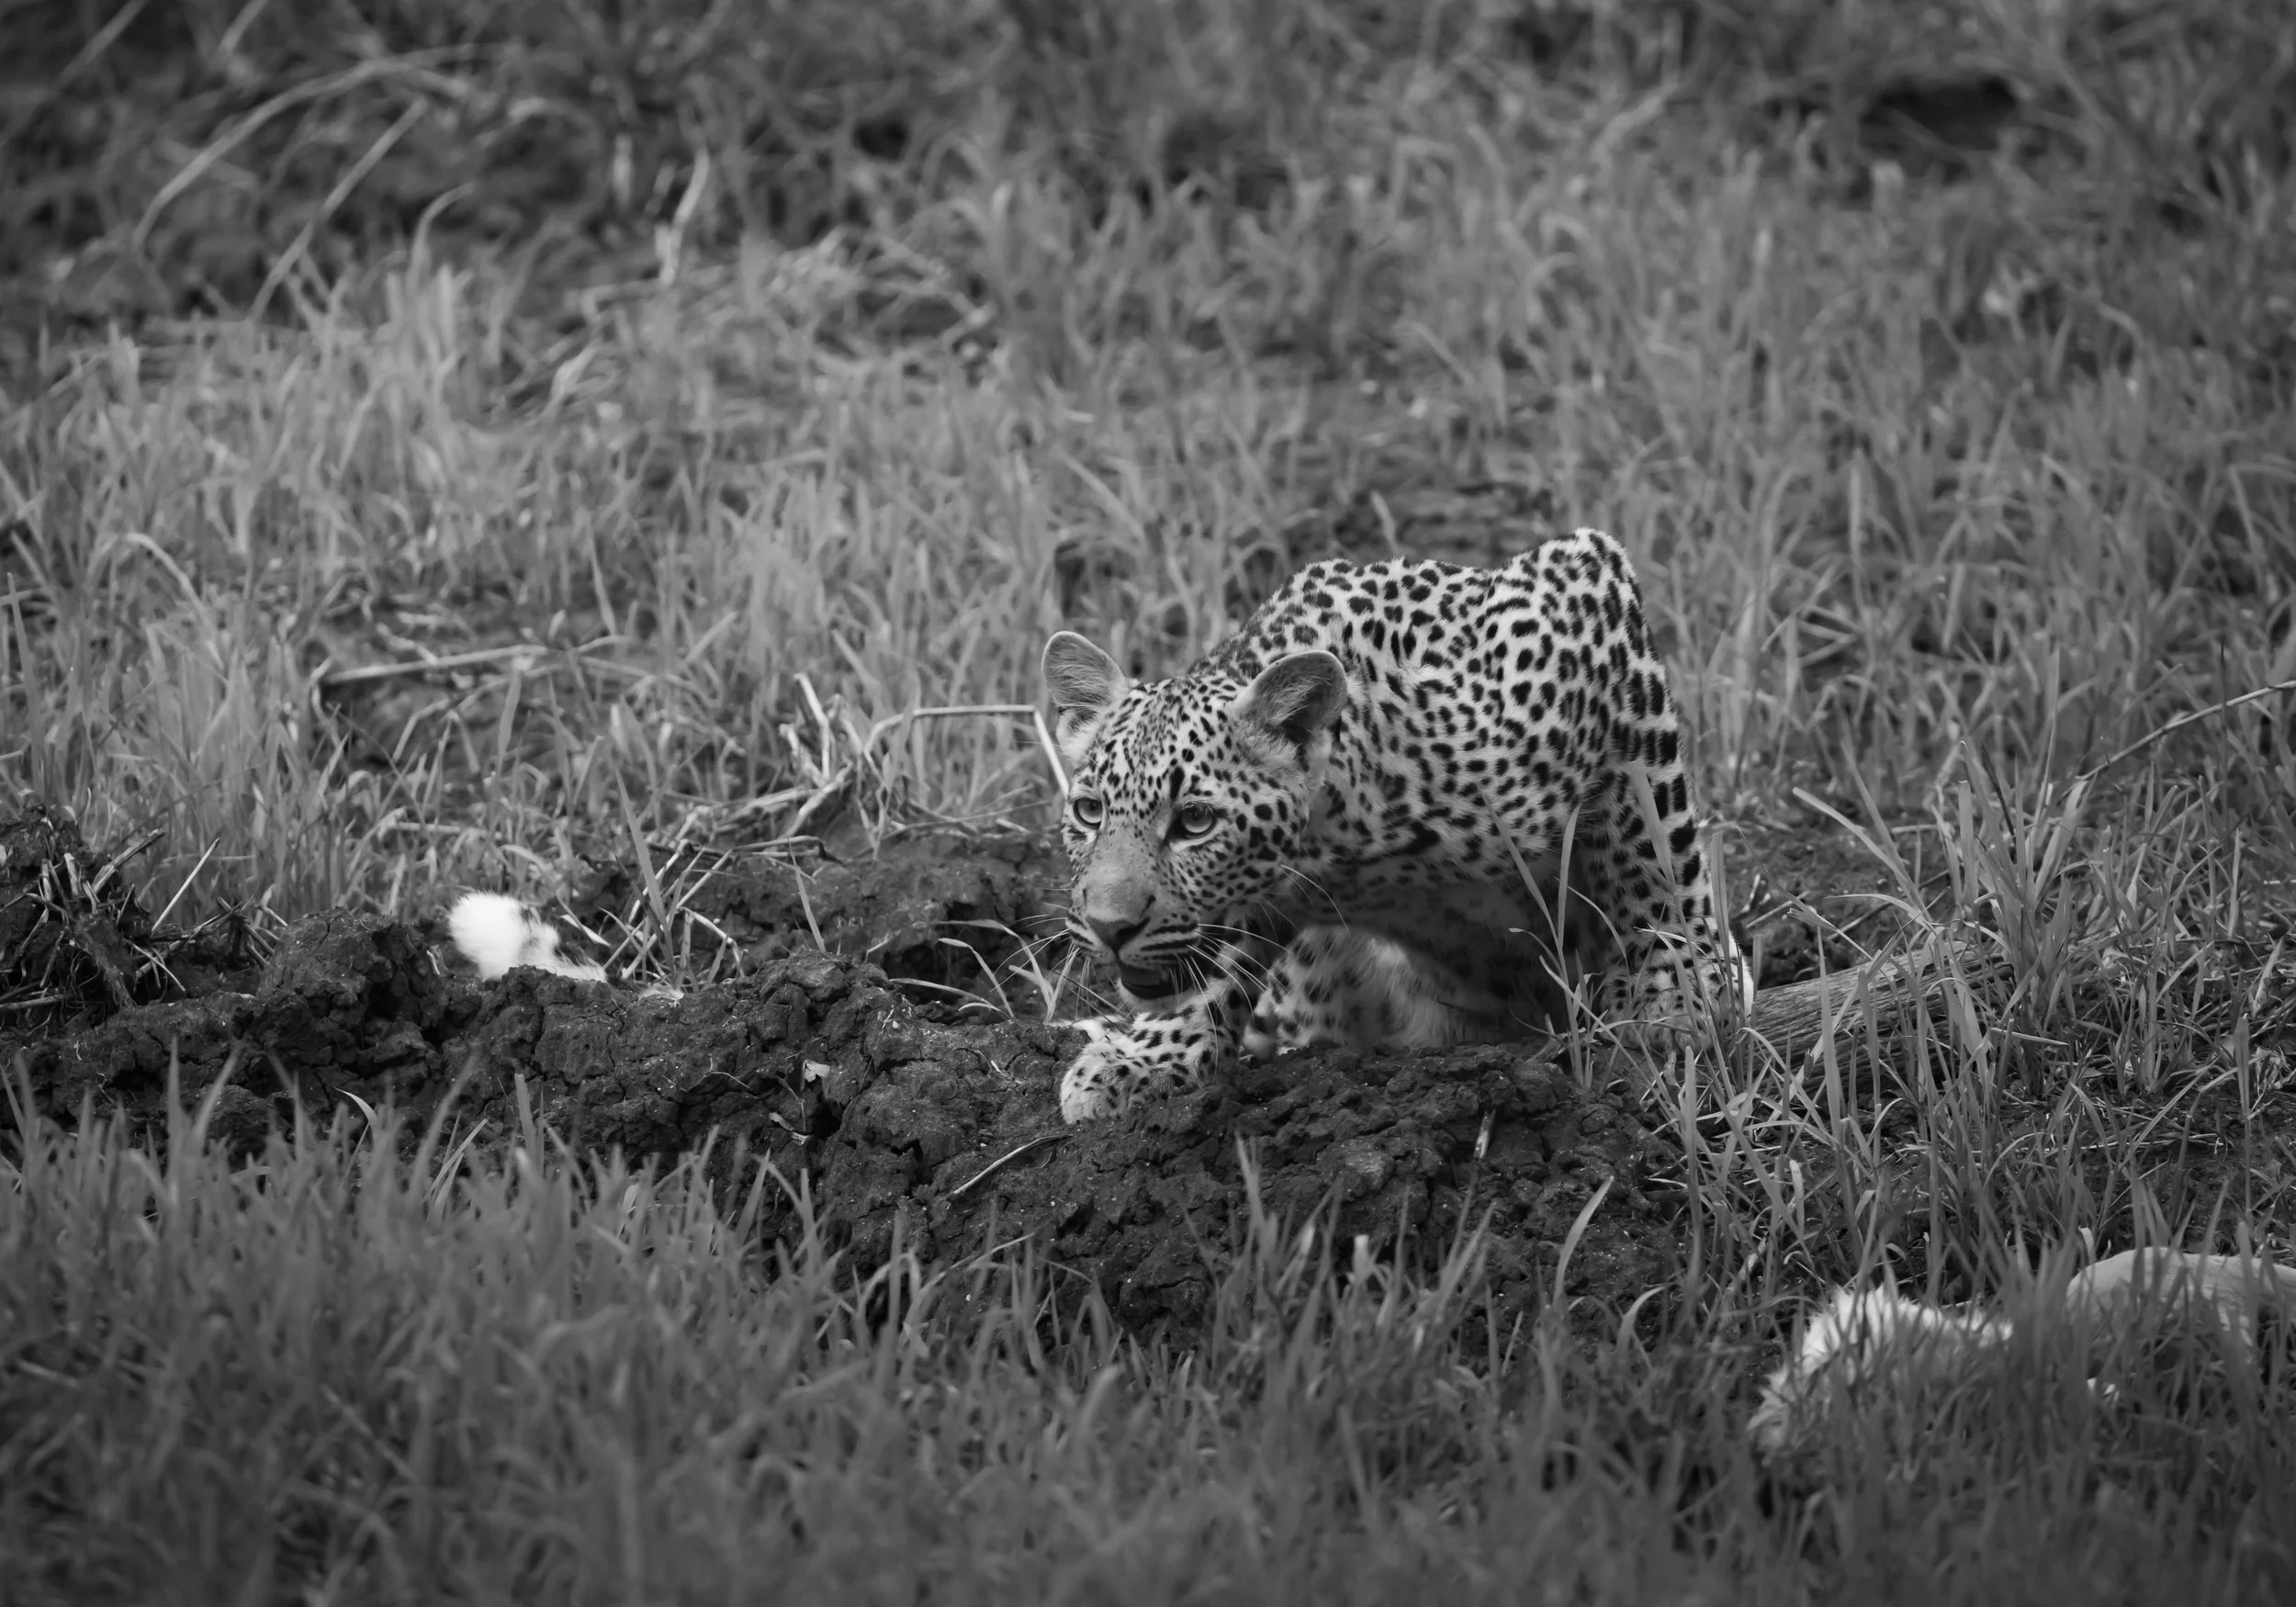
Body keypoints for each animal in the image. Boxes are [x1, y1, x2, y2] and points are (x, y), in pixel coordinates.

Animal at [1042, 525, 1743, 1124]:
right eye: (1090, 812)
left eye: (1194, 821)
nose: (1109, 929)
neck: (1348, 858)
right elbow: (1214, 964)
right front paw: (1141, 1059)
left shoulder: (1588, 589)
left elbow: (1653, 844)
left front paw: (1672, 993)